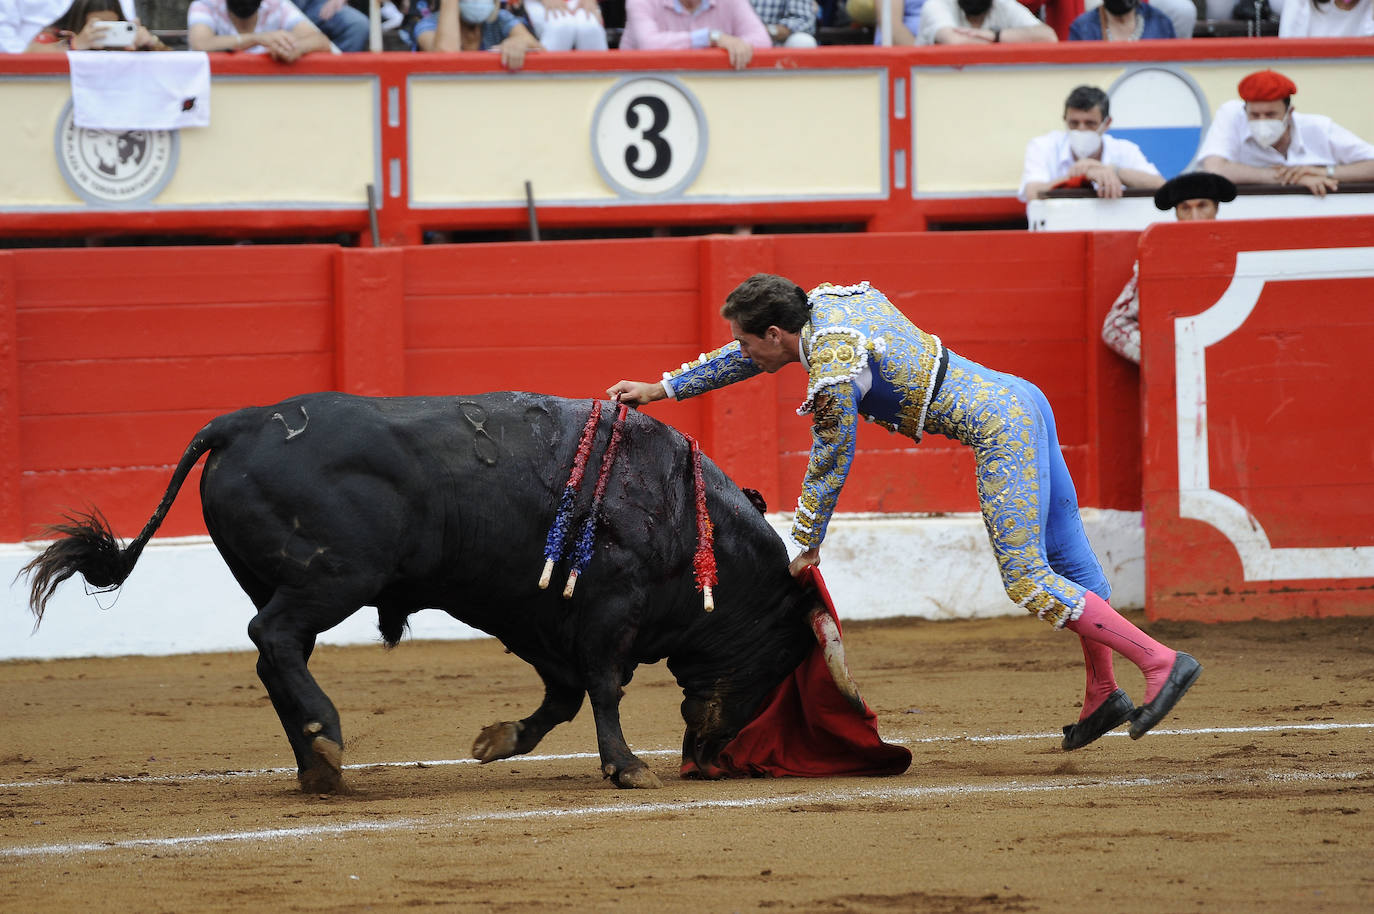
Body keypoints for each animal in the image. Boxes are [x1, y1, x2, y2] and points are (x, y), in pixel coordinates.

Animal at [18, 393, 868, 791]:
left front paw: (498, 741)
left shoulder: (538, 617)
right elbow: (602, 686)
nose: (712, 760)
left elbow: (564, 695)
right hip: (333, 578)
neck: (688, 517)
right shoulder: (609, 611)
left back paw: (315, 763)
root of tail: (242, 422)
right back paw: (326, 737)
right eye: (780, 664)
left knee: (271, 654)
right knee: (274, 639)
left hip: (285, 579)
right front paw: (627, 765)